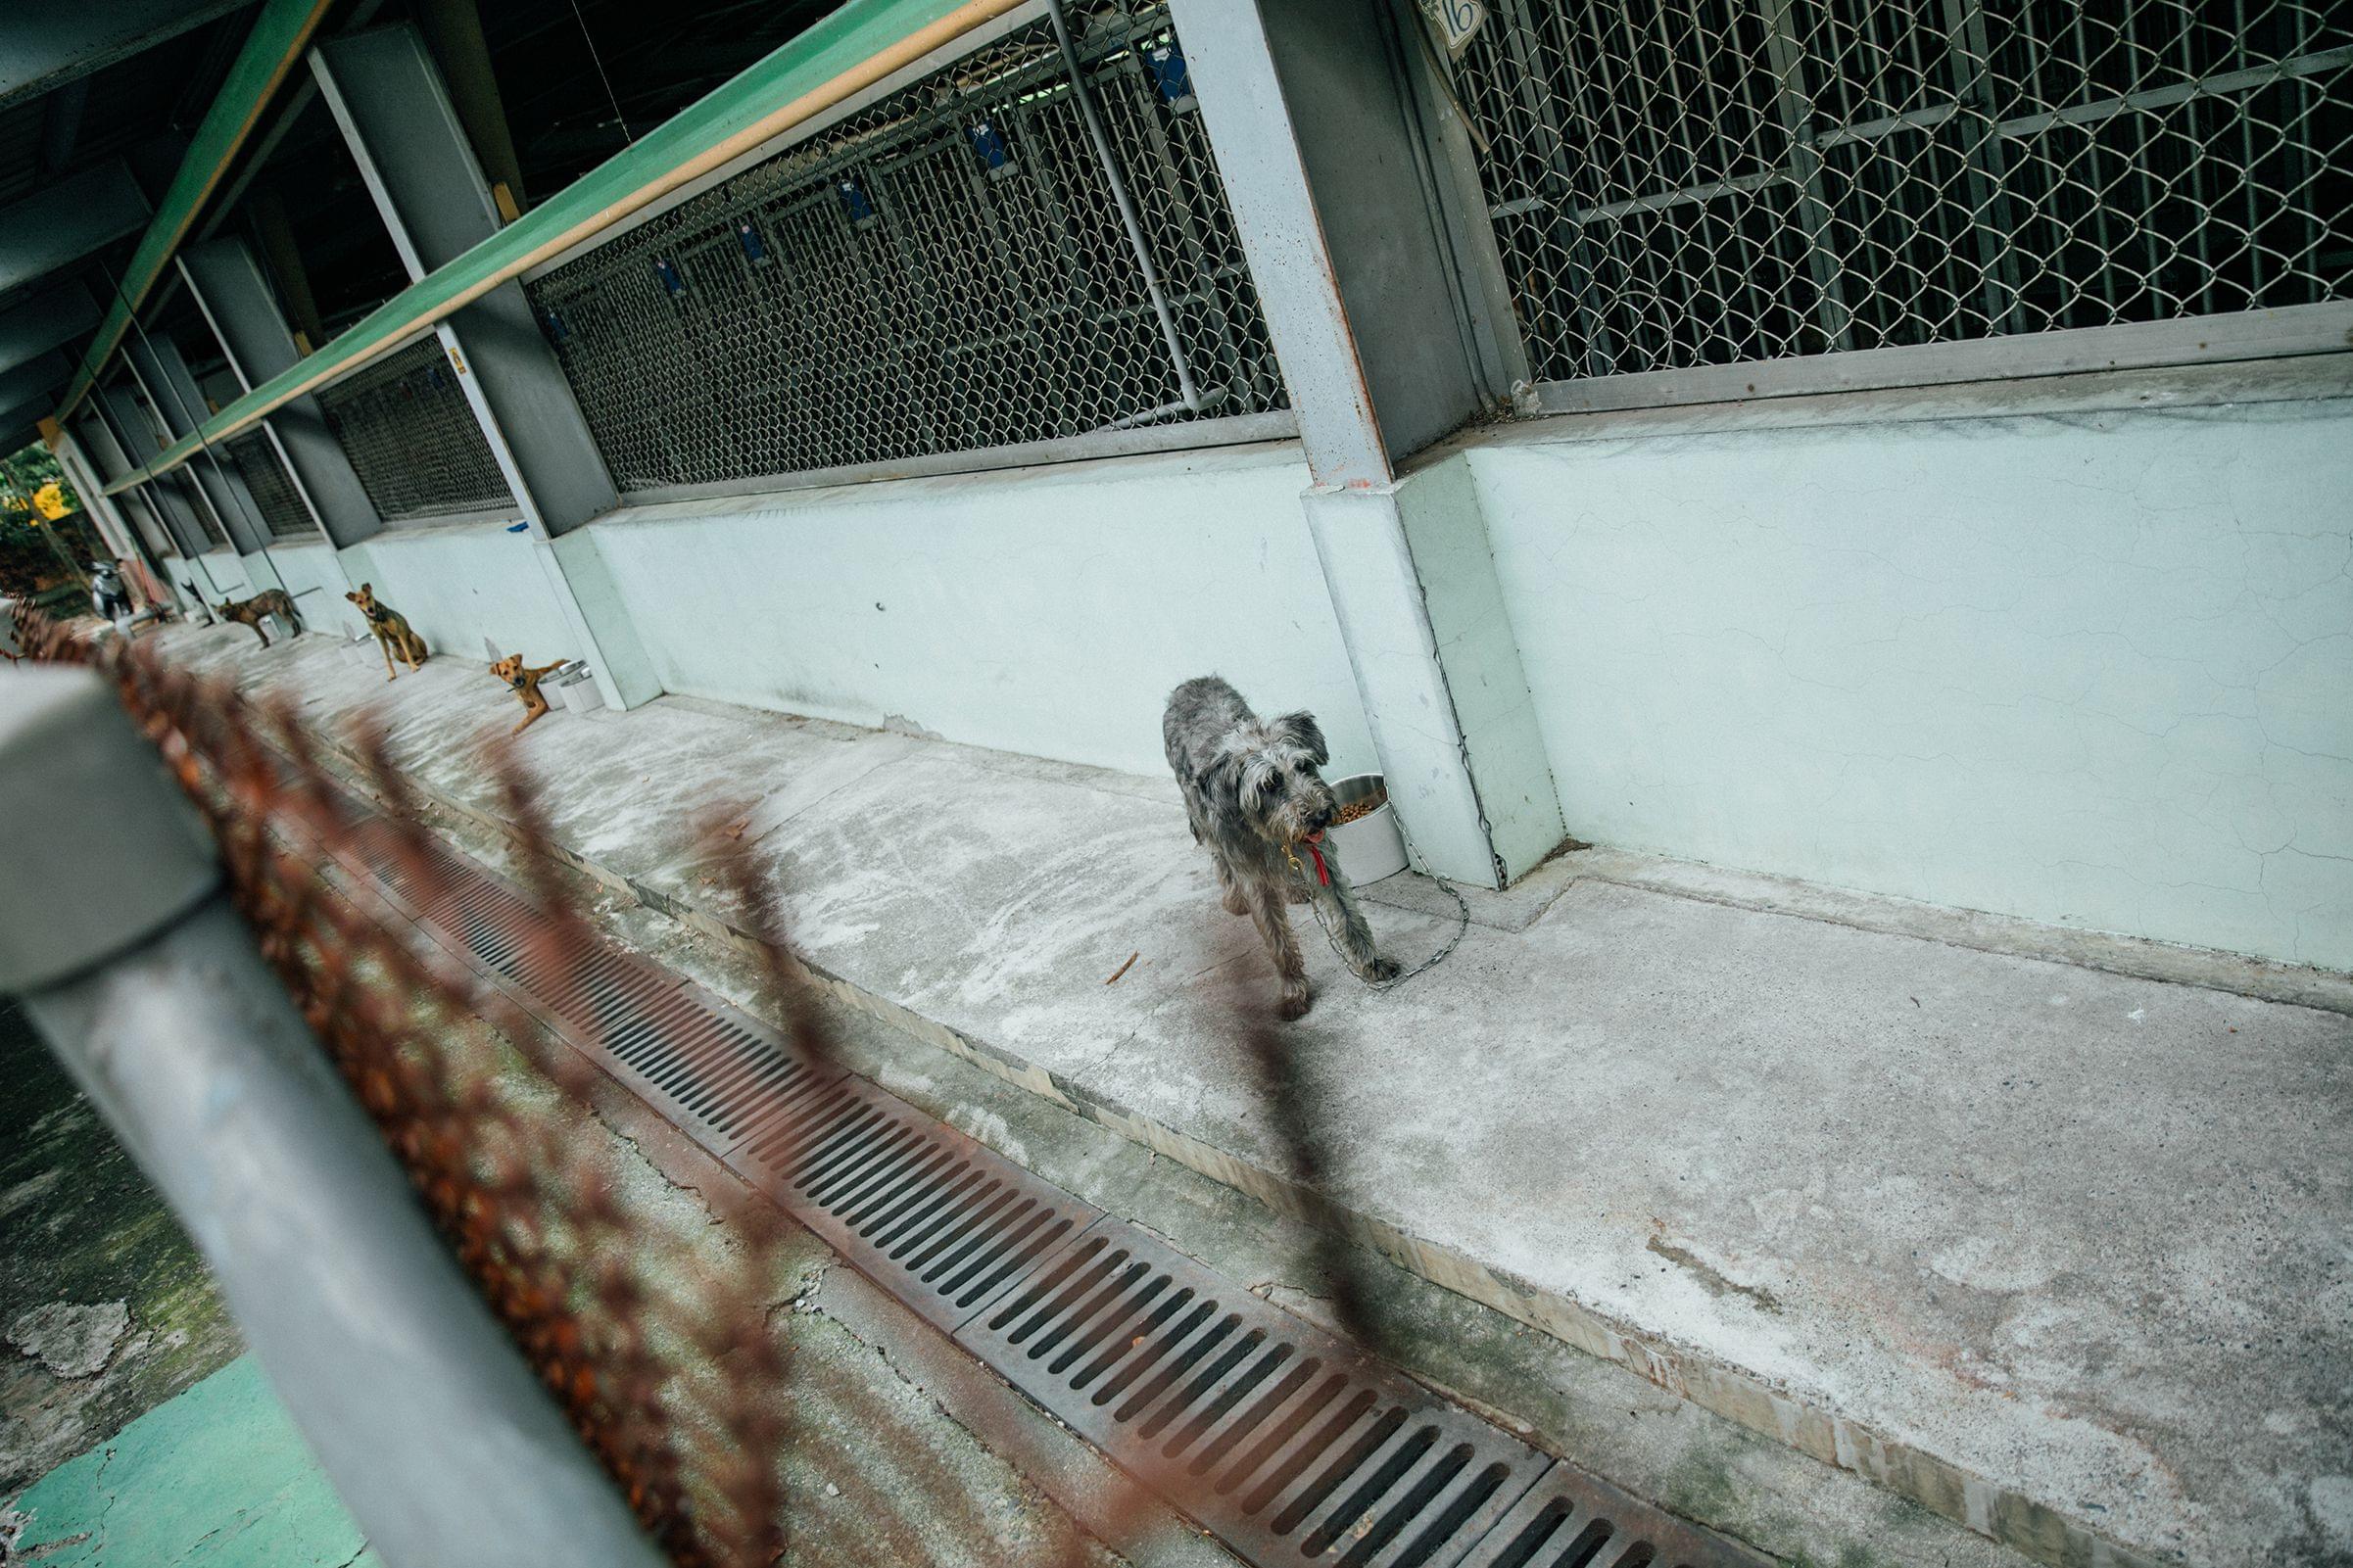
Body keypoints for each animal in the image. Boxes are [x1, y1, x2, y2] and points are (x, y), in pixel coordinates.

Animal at [1162, 677, 1392, 1020]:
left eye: (1304, 766)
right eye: (1268, 784)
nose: (1320, 816)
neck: (1268, 833)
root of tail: (1192, 683)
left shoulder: (1320, 859)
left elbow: (1347, 915)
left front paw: (1372, 963)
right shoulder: (1253, 880)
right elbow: (1277, 941)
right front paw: (1294, 990)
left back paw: (1294, 888)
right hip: (1199, 813)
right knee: (1217, 858)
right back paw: (1233, 897)